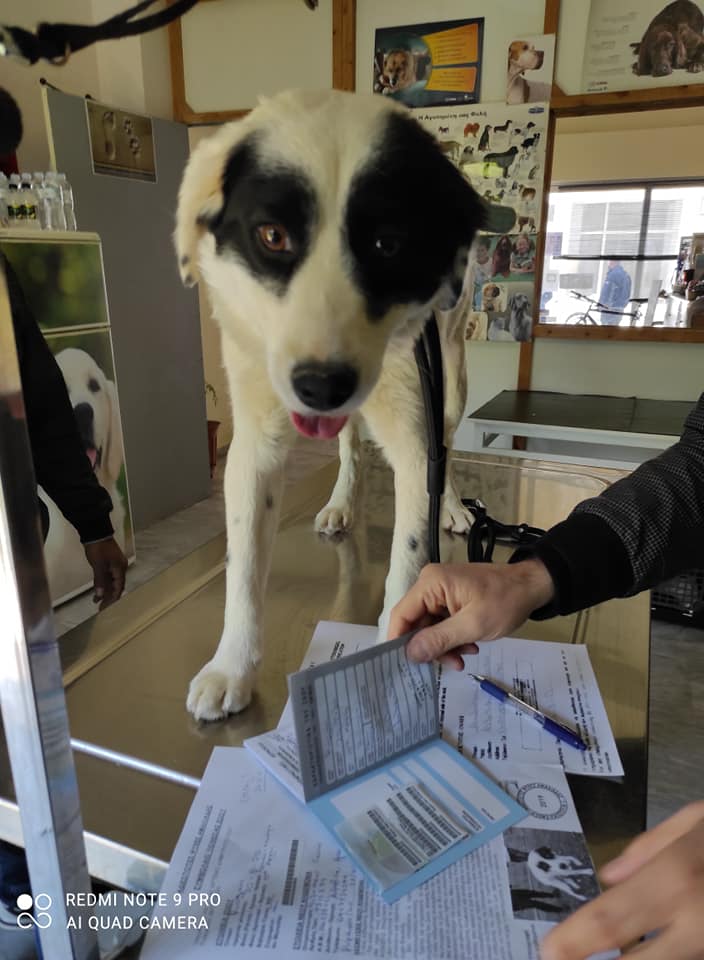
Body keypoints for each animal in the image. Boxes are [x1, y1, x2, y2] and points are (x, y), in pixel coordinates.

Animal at [175, 90, 485, 720]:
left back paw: (452, 505)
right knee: (349, 448)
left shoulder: (415, 429)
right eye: (272, 236)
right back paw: (342, 501)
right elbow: (243, 567)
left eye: (388, 243)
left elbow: (410, 559)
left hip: (451, 371)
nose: (321, 386)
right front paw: (232, 667)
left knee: (445, 442)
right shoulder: (255, 446)